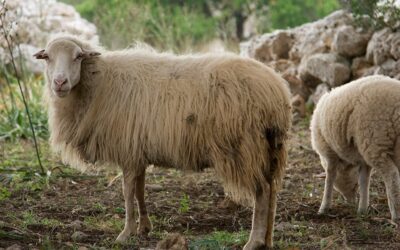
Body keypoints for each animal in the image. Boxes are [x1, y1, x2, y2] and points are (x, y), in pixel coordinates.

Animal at [34, 34, 290, 248]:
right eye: (47, 57)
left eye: (78, 56)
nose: (59, 82)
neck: (98, 83)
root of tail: (277, 91)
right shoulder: (137, 151)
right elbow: (140, 190)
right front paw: (144, 228)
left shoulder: (128, 150)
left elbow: (127, 192)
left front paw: (126, 232)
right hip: (271, 148)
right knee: (273, 192)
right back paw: (268, 240)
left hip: (245, 148)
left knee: (262, 192)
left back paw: (254, 241)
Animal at [310, 74, 400, 221]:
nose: (351, 202)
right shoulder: (362, 159)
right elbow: (364, 180)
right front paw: (362, 210)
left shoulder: (330, 153)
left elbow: (330, 177)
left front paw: (323, 208)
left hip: (374, 141)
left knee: (391, 175)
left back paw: (395, 214)